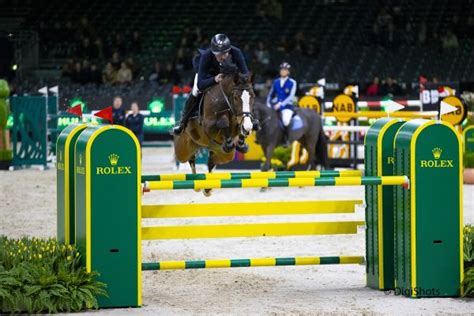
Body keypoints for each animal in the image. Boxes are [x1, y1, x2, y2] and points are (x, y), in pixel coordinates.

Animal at [174, 61, 256, 195]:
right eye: (236, 97)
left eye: (252, 96)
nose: (248, 125)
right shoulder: (208, 125)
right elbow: (223, 122)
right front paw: (230, 140)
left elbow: (240, 128)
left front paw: (242, 142)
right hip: (182, 149)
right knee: (189, 158)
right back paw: (197, 185)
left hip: (224, 155)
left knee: (211, 161)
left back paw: (207, 188)